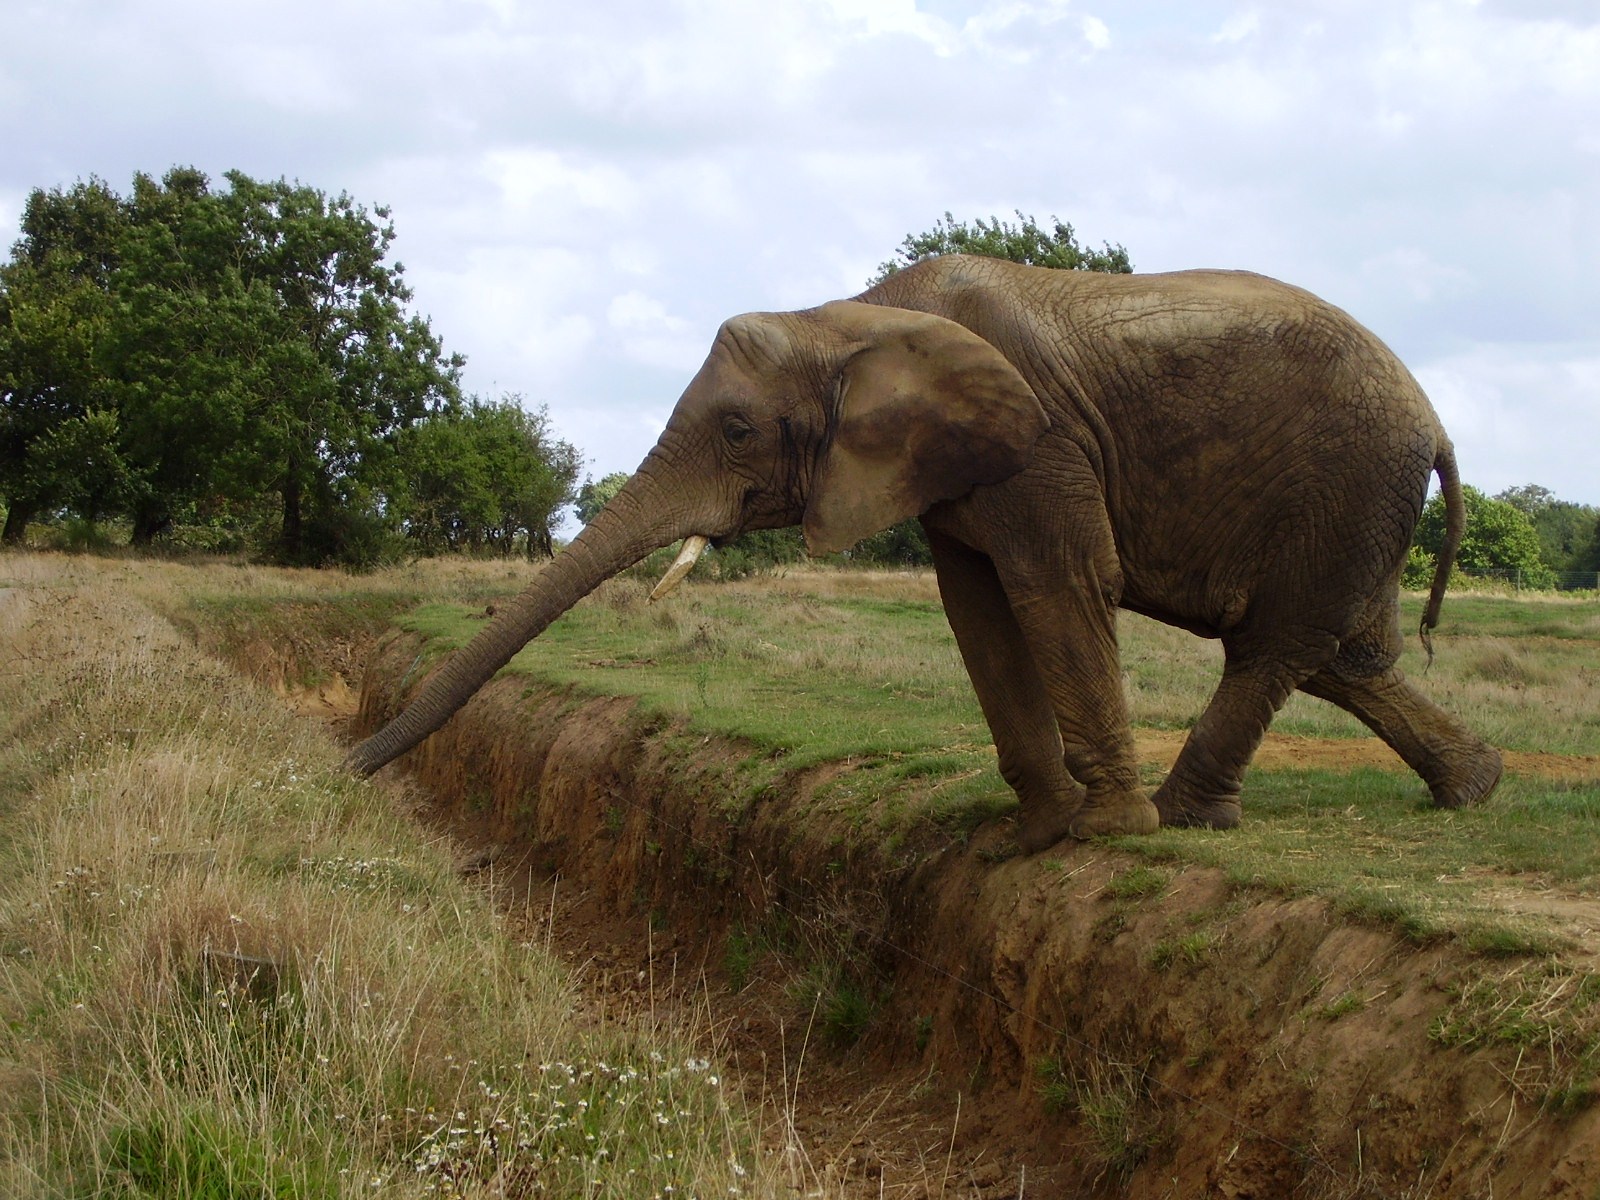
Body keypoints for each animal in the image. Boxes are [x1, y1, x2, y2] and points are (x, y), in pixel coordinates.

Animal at [347, 254, 1503, 849]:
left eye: (737, 430)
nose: (344, 764)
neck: (846, 311)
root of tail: (1438, 422)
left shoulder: (1040, 441)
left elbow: (1058, 583)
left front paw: (1105, 834)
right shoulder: (952, 468)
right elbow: (976, 606)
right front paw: (1036, 830)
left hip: (1350, 481)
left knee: (1276, 644)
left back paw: (1178, 818)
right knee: (1334, 655)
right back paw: (1470, 790)